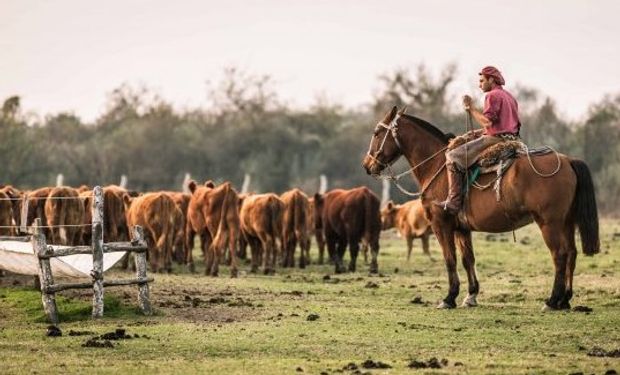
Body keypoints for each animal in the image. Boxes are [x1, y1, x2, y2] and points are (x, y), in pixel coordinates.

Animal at [360, 106, 600, 312]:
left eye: (377, 132)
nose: (367, 165)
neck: (438, 166)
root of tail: (568, 161)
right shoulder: (462, 229)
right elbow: (468, 260)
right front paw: (471, 295)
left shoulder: (441, 225)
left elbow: (450, 259)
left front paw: (449, 297)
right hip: (567, 222)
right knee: (571, 253)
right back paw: (565, 300)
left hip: (549, 223)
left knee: (559, 254)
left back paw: (552, 300)